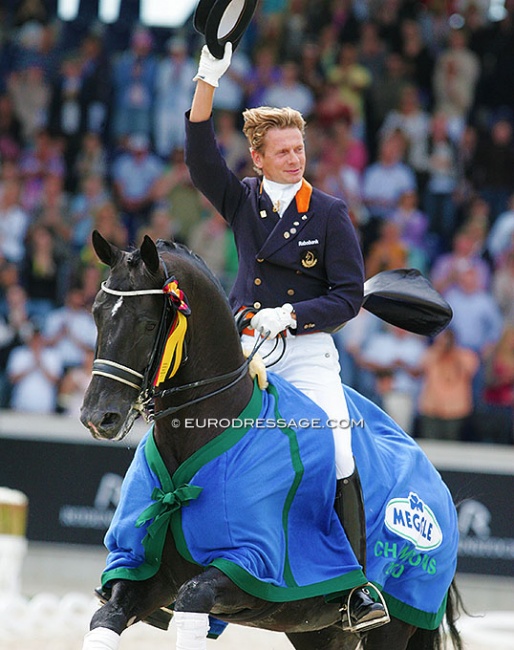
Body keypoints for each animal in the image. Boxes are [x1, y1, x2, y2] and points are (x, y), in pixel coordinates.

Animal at [80, 232, 460, 648]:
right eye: (98, 314)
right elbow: (106, 616)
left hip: (395, 621)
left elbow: (192, 596)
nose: (99, 417)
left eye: (149, 325)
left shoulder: (251, 567)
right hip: (319, 630)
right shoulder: (139, 569)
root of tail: (435, 481)